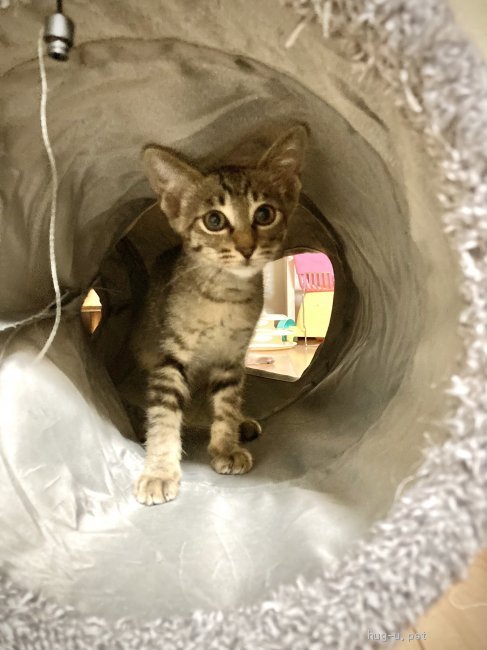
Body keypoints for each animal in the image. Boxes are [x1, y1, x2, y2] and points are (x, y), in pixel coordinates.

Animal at [132, 125, 308, 505]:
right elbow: (164, 415)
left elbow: (226, 404)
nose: (246, 248)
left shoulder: (231, 358)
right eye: (214, 220)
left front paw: (226, 445)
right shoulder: (168, 357)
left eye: (264, 214)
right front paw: (159, 471)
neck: (224, 296)